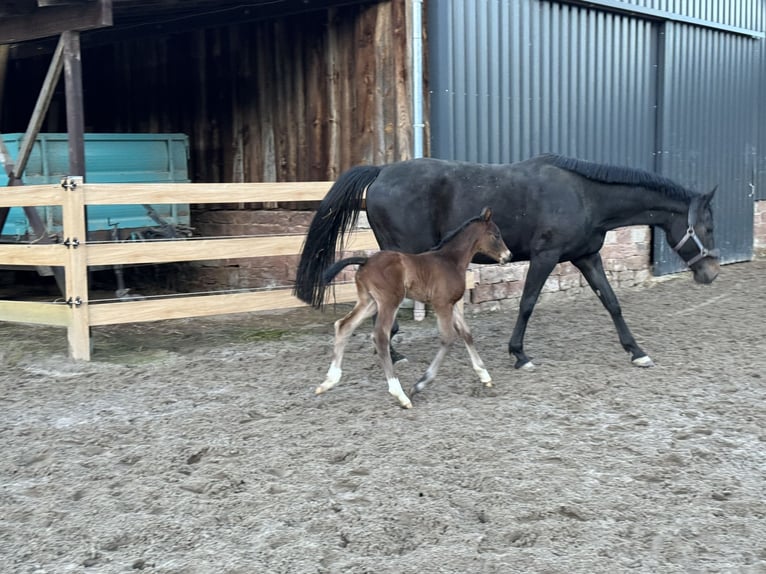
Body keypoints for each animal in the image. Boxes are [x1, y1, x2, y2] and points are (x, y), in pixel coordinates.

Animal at [316, 207, 512, 410]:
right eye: (496, 234)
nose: (508, 256)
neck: (450, 260)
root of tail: (365, 261)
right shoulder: (441, 304)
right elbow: (448, 338)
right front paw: (419, 385)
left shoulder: (451, 304)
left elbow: (466, 333)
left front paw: (484, 375)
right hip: (389, 301)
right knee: (380, 336)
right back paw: (400, 394)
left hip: (369, 302)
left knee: (344, 325)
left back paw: (328, 382)